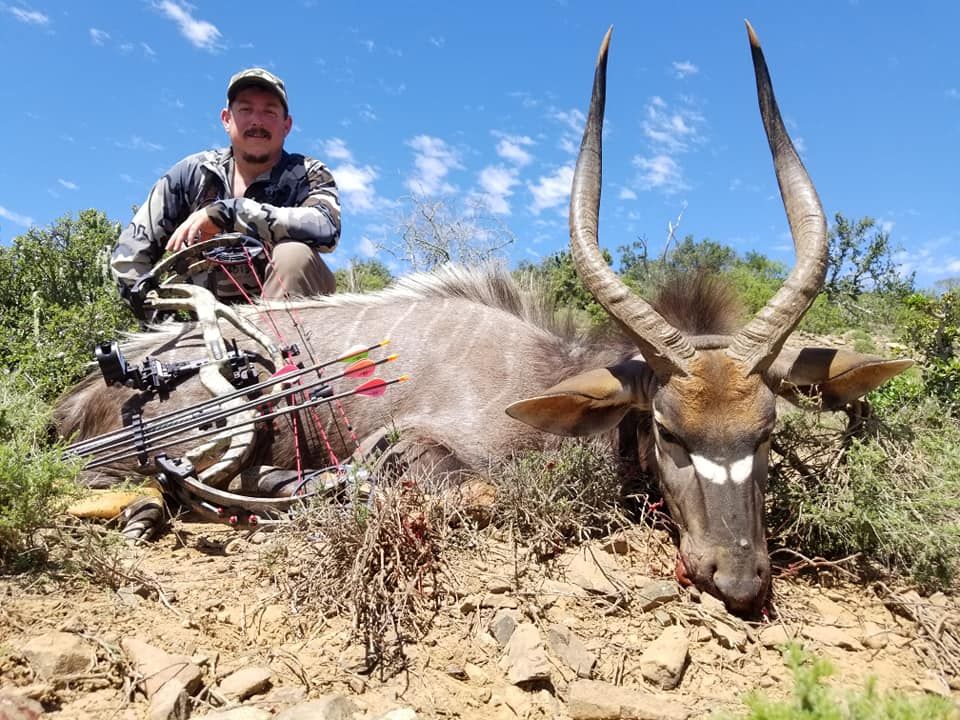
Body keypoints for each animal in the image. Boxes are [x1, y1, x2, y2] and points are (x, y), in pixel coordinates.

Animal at [55, 24, 911, 615]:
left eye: (765, 432)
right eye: (668, 430)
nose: (736, 575)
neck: (547, 378)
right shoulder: (414, 447)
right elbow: (475, 495)